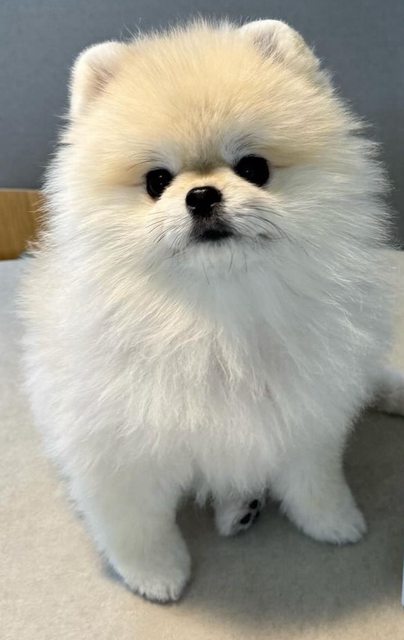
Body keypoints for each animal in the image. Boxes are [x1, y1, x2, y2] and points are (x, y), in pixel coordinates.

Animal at [19, 19, 404, 602]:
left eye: (253, 167)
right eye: (157, 181)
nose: (201, 195)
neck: (216, 313)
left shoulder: (304, 409)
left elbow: (313, 477)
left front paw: (333, 522)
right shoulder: (114, 448)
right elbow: (135, 523)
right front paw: (156, 574)